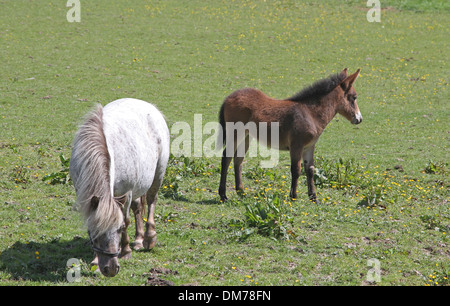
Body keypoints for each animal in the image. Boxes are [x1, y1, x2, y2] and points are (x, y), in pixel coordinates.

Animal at [69, 98, 170, 278]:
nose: (110, 269)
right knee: (138, 207)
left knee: (151, 200)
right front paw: (95, 261)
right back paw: (138, 239)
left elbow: (126, 220)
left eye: (119, 229)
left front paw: (126, 251)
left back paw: (149, 238)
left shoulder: (126, 193)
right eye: (95, 232)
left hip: (158, 173)